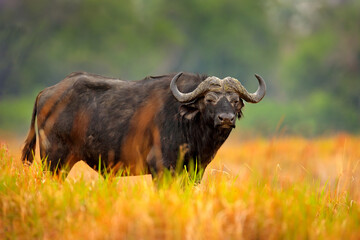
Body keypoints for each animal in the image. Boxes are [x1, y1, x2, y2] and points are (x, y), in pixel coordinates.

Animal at [21, 72, 266, 175]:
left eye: (236, 101)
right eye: (209, 99)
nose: (226, 119)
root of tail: (46, 92)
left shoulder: (195, 171)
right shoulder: (161, 168)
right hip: (54, 160)